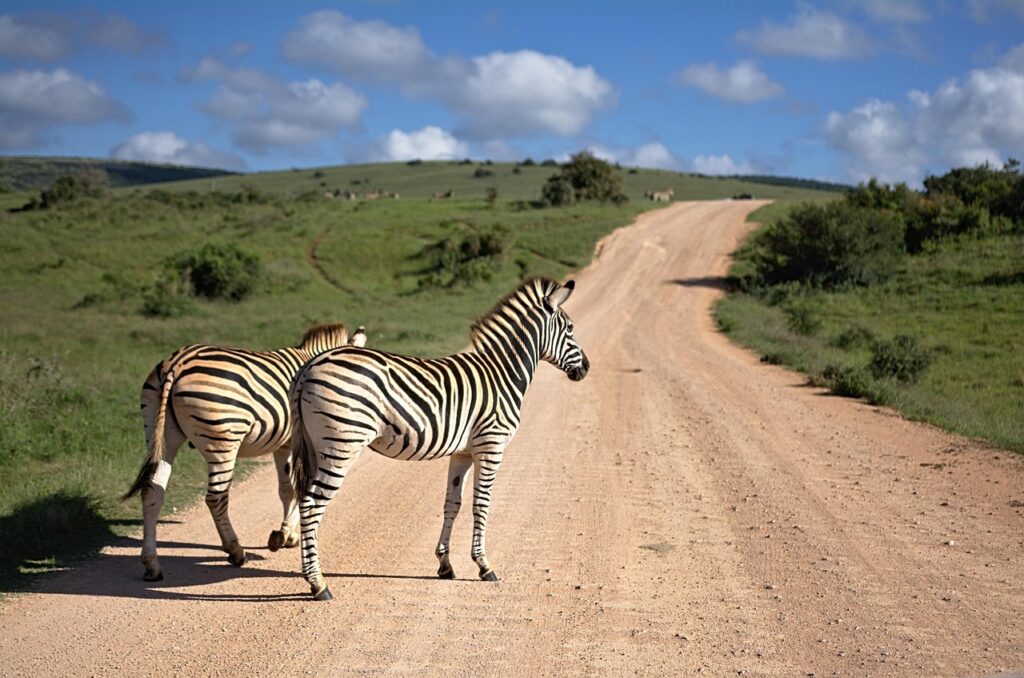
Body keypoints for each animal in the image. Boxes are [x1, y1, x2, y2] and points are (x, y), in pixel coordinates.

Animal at [123, 322, 367, 582]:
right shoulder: (300, 442)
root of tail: (176, 363)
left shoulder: (284, 444)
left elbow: (287, 489)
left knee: (152, 492)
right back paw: (235, 551)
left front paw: (287, 535)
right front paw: (285, 534)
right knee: (216, 498)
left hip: (160, 434)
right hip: (222, 440)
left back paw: (152, 564)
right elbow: (299, 489)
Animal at [289, 277, 589, 600]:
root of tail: (310, 365)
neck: (502, 374)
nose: (586, 368)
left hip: (317, 446)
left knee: (304, 500)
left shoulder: (463, 452)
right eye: (570, 328)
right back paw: (318, 583)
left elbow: (452, 503)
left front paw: (445, 565)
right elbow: (482, 503)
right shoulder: (491, 445)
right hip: (341, 445)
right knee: (312, 504)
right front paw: (484, 566)